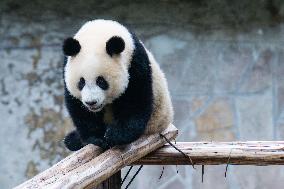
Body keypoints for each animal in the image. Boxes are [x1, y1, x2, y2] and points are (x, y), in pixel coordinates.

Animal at [62, 19, 173, 151]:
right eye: (81, 82)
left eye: (101, 81)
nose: (91, 102)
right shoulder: (66, 67)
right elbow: (78, 108)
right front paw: (97, 137)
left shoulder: (135, 63)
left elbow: (136, 101)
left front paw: (115, 134)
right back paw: (73, 140)